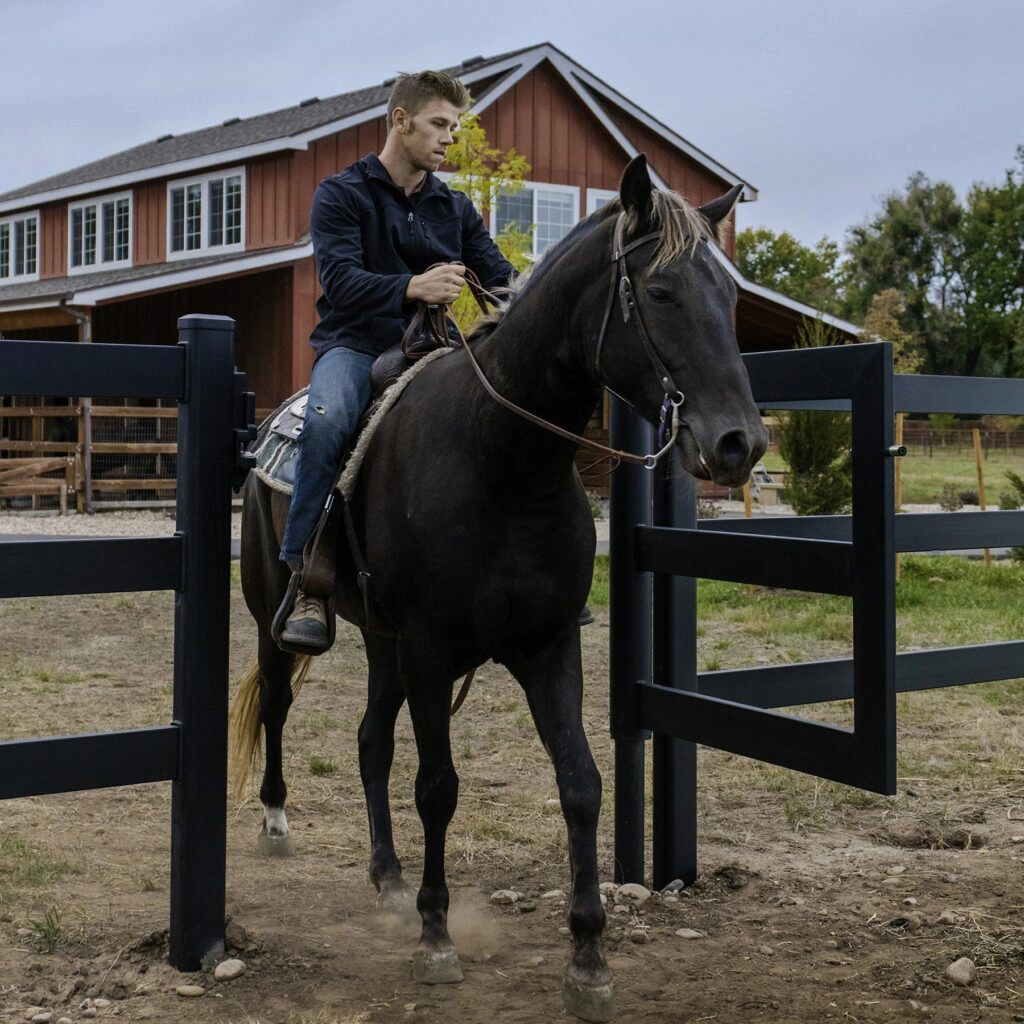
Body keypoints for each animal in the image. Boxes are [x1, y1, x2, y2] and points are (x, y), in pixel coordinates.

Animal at [230, 154, 768, 1022]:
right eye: (660, 292)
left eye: (730, 296)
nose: (738, 443)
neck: (503, 457)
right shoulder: (430, 650)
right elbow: (438, 787)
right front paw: (437, 937)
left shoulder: (546, 647)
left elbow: (580, 785)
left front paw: (588, 956)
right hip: (281, 620)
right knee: (279, 703)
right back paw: (278, 823)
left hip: (381, 642)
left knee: (370, 740)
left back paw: (387, 877)